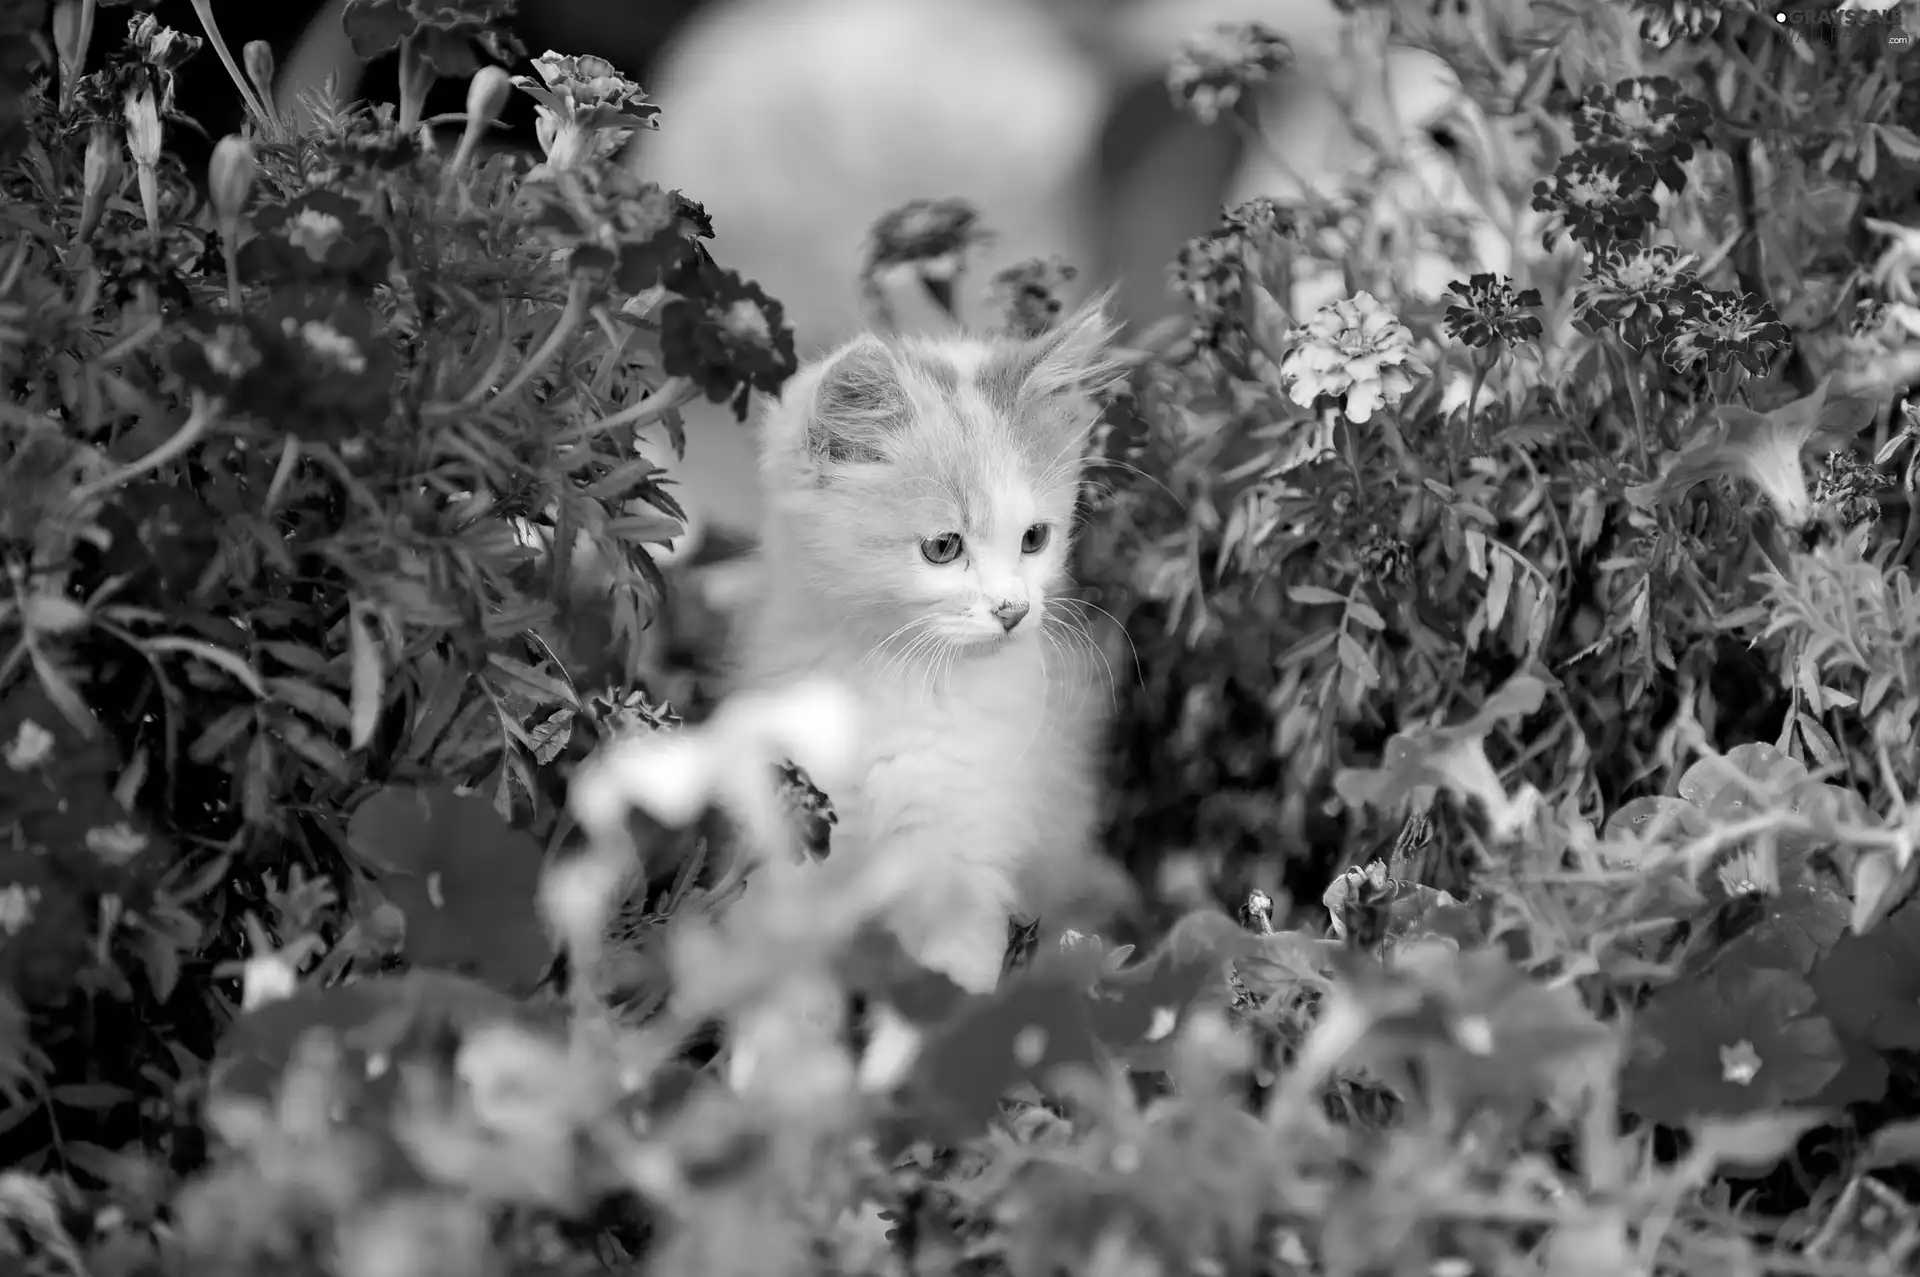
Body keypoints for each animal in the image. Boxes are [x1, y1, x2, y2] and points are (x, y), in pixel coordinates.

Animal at [733, 301, 1121, 998]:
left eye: (1034, 538)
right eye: (943, 547)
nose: (1014, 610)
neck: (894, 680)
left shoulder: (965, 851)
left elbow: (949, 988)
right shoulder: (797, 827)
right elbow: (787, 972)